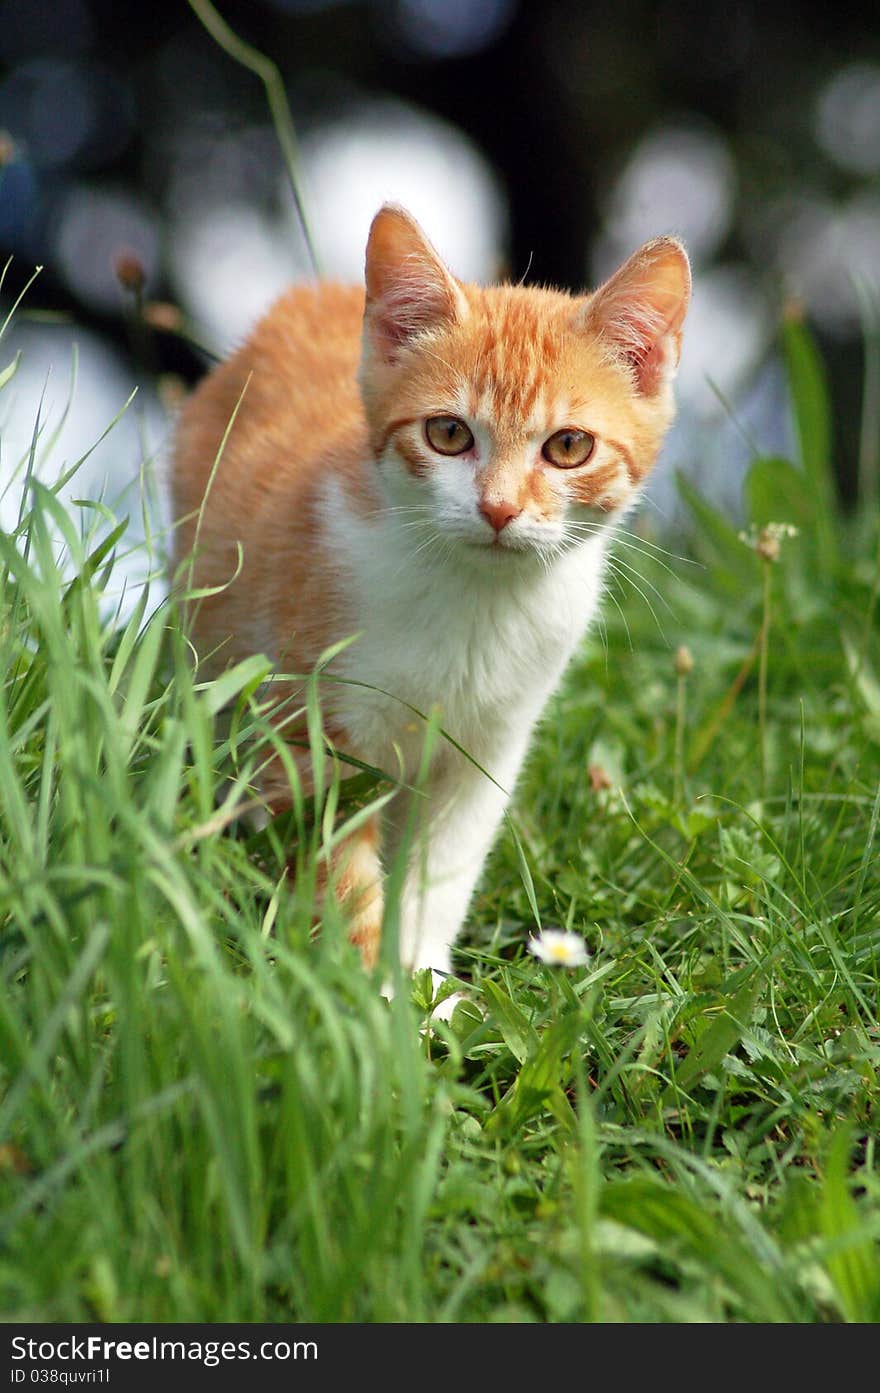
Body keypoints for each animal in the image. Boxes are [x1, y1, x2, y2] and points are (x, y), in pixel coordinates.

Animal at [171, 203, 690, 1014]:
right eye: (448, 433)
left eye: (569, 446)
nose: (499, 508)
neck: (474, 605)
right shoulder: (314, 723)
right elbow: (340, 873)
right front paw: (367, 999)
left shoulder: (490, 747)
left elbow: (440, 874)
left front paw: (426, 987)